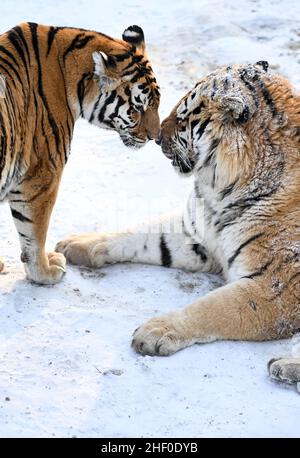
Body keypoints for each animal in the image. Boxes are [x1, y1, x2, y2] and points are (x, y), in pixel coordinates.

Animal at [0, 24, 161, 286]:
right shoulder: (41, 178)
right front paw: (44, 272)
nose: (155, 137)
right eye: (138, 108)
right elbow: (34, 235)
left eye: (156, 103)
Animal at [56, 60, 300, 390]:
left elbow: (213, 308)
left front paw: (156, 331)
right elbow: (139, 235)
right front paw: (76, 243)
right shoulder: (196, 234)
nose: (157, 137)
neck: (222, 191)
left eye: (184, 119)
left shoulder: (275, 289)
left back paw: (283, 366)